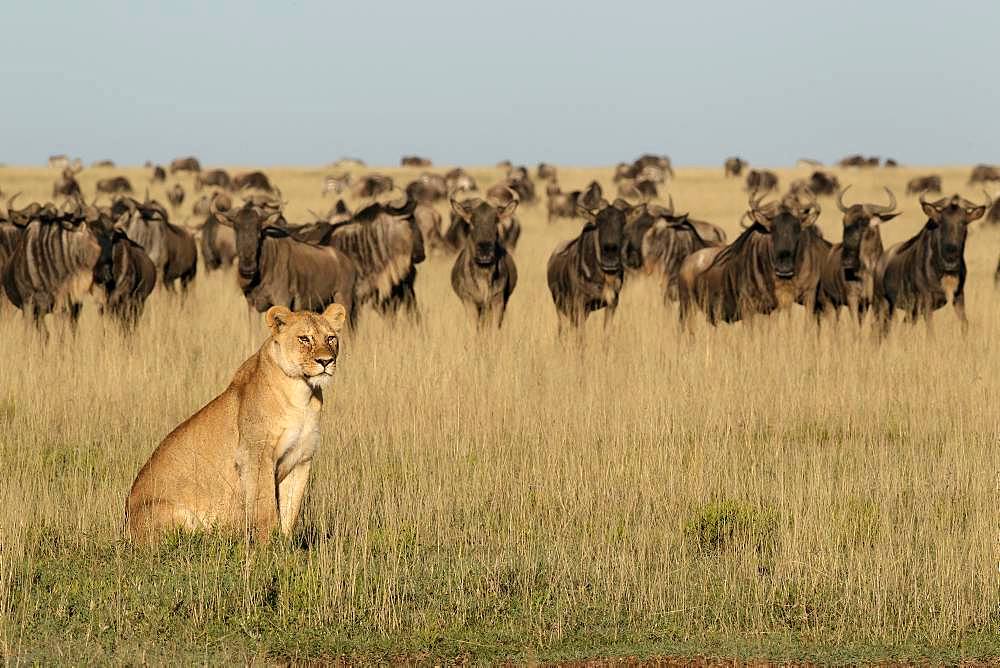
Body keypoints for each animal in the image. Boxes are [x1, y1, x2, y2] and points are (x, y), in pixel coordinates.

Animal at [125, 302, 348, 544]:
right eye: (304, 339)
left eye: (330, 338)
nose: (326, 361)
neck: (303, 395)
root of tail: (125, 527)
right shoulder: (255, 455)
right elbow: (266, 506)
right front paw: (267, 546)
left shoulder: (301, 459)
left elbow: (290, 510)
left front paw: (285, 545)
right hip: (171, 511)